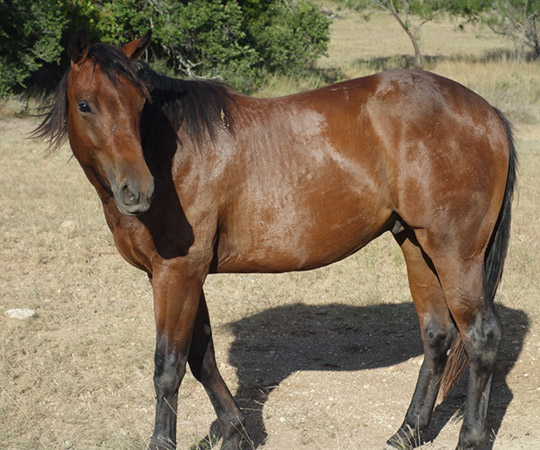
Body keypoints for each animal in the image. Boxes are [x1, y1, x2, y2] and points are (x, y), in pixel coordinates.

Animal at [33, 29, 516, 448]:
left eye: (139, 104)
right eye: (85, 105)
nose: (138, 192)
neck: (176, 155)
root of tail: (488, 113)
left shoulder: (176, 274)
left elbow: (169, 366)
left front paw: (165, 442)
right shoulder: (185, 275)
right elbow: (202, 357)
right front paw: (235, 432)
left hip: (455, 254)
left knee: (481, 338)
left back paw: (469, 439)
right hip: (417, 246)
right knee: (437, 336)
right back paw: (408, 431)